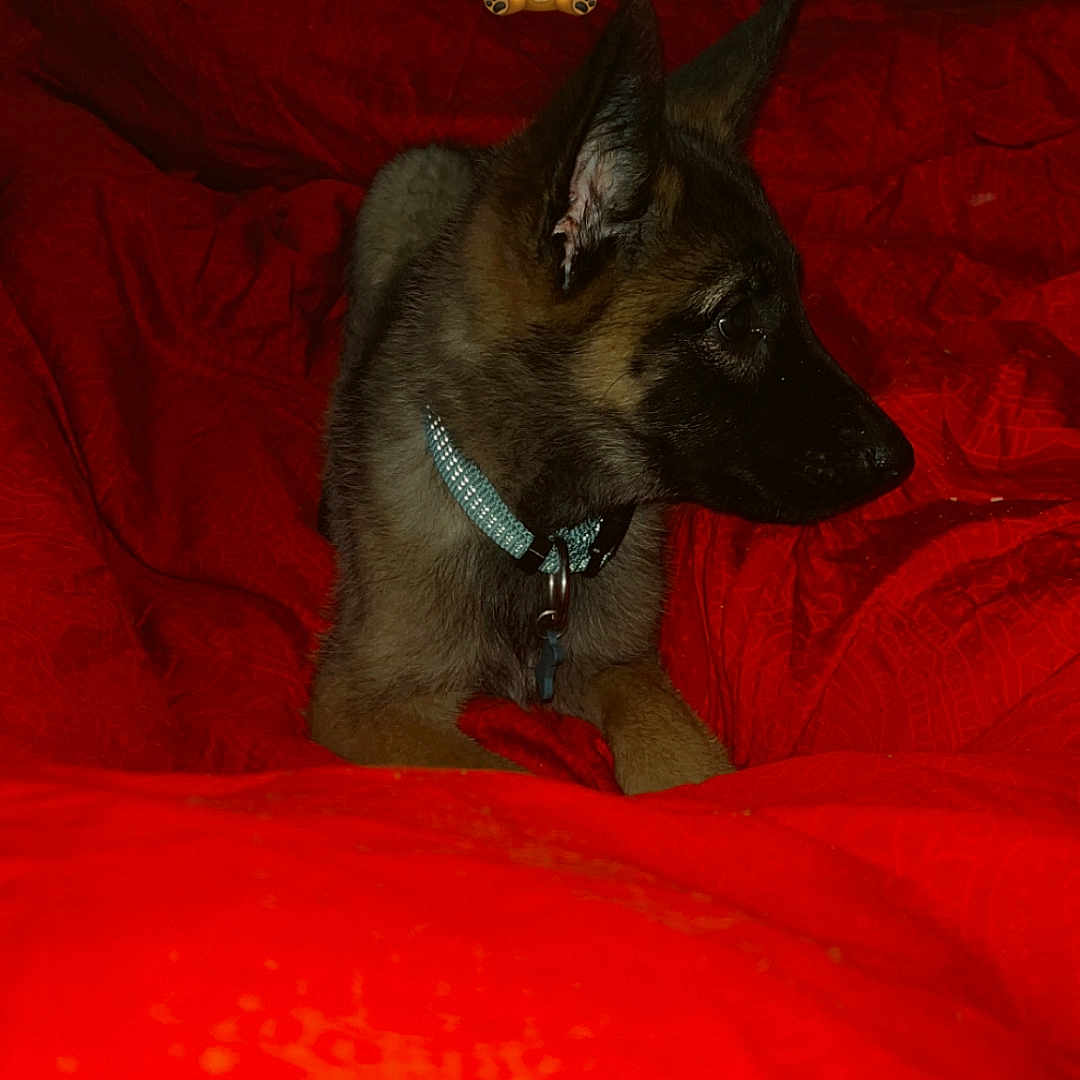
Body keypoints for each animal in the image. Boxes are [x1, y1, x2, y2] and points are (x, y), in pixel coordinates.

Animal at [311, 0, 914, 794]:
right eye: (734, 321)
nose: (900, 459)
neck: (541, 536)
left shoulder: (623, 665)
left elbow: (678, 750)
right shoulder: (366, 702)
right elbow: (507, 776)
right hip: (398, 190)